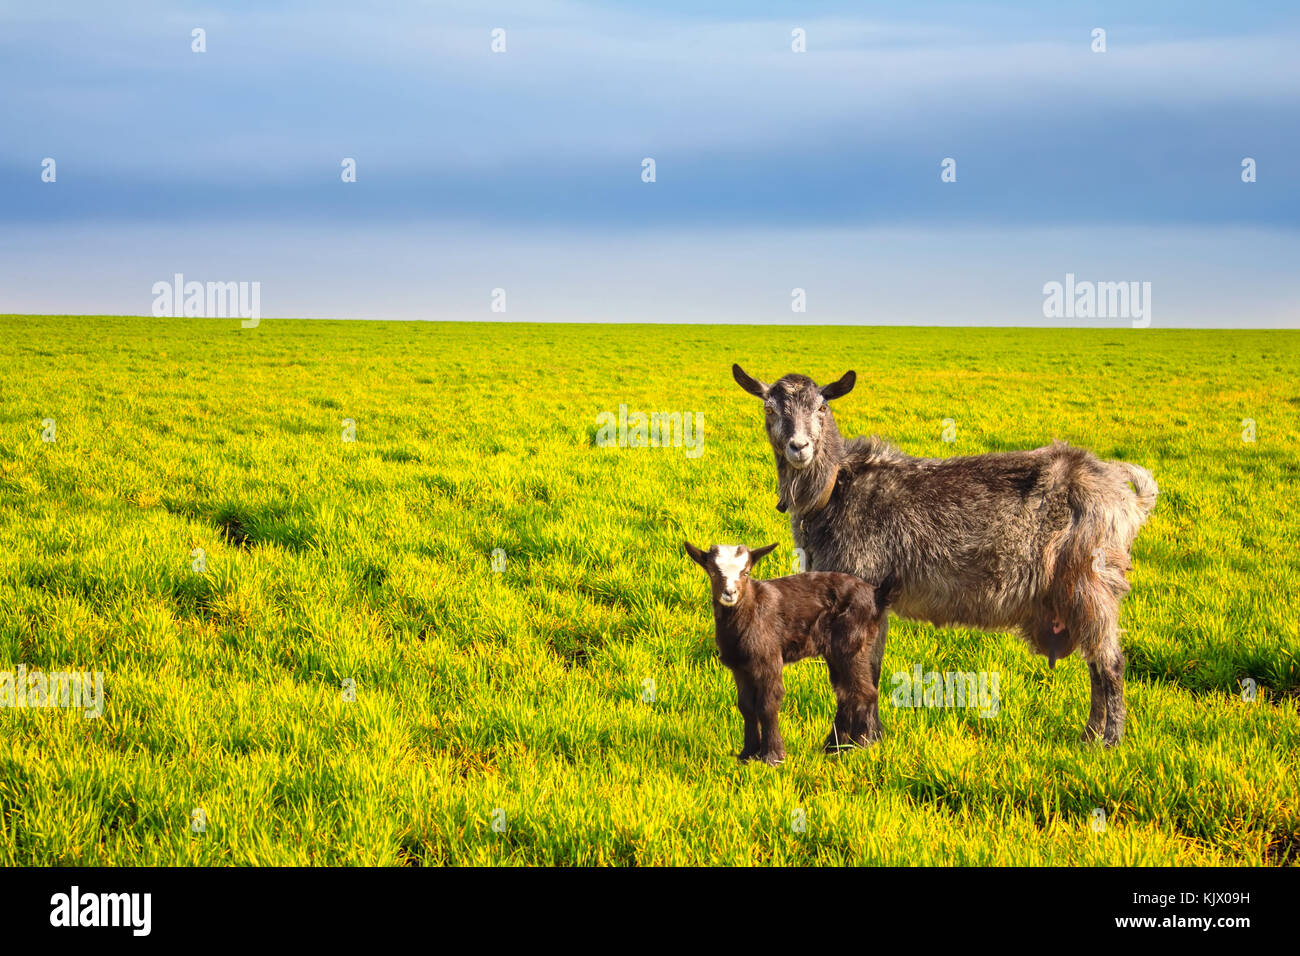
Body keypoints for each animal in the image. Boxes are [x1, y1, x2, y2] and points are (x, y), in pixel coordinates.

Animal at [684, 541, 894, 764]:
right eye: (713, 572)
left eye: (746, 572)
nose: (729, 593)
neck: (751, 609)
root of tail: (876, 594)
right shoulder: (740, 667)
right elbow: (746, 706)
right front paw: (747, 754)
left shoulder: (768, 659)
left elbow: (767, 705)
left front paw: (772, 756)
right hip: (837, 652)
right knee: (845, 692)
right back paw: (835, 747)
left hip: (853, 644)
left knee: (865, 691)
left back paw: (861, 744)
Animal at [731, 364, 1158, 746]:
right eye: (770, 408)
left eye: (822, 406)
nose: (799, 447)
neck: (836, 487)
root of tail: (1123, 490)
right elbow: (873, 667)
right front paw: (871, 739)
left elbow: (860, 671)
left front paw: (847, 744)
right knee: (1097, 662)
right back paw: (1092, 736)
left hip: (1092, 581)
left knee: (1109, 663)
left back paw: (1106, 741)